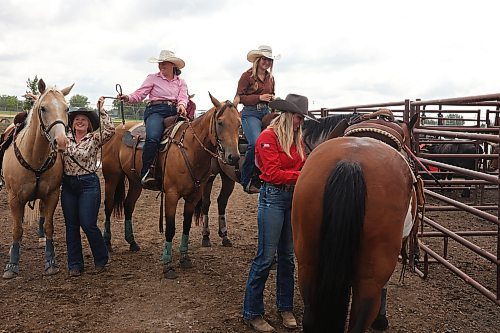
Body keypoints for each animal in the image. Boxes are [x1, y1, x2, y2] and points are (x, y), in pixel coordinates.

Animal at [1, 78, 73, 278]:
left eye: (67, 108)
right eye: (43, 108)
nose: (61, 142)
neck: (34, 155)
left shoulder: (52, 195)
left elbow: (48, 226)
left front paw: (50, 261)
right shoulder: (14, 199)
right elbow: (17, 230)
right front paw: (12, 264)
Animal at [101, 93, 240, 278]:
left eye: (239, 123)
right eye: (220, 122)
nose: (234, 157)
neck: (190, 149)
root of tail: (117, 129)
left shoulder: (194, 197)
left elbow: (186, 226)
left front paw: (184, 258)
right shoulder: (172, 195)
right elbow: (171, 229)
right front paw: (167, 264)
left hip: (136, 182)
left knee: (128, 205)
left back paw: (132, 242)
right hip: (112, 178)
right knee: (108, 207)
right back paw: (107, 242)